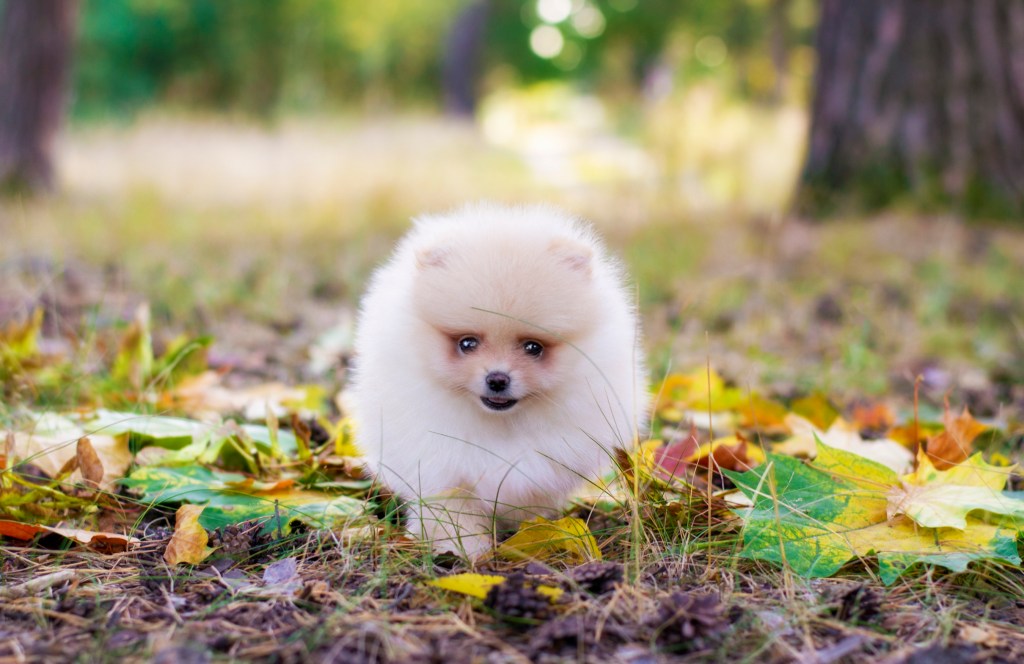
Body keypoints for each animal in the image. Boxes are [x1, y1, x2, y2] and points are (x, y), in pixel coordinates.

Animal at [348, 200, 643, 553]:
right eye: (467, 343)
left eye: (533, 347)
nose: (498, 379)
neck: (501, 426)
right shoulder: (441, 467)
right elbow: (453, 513)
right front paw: (463, 550)